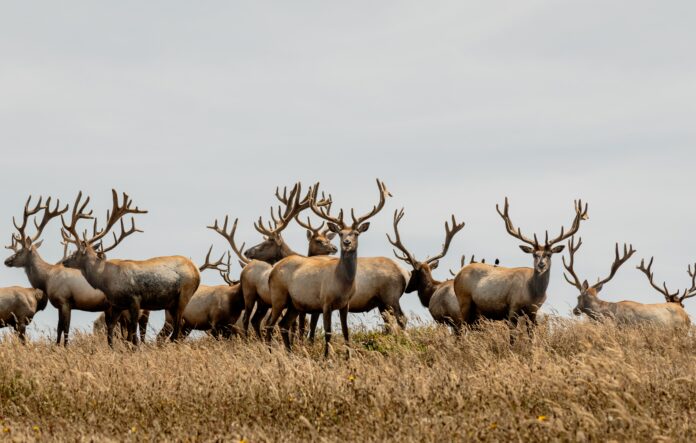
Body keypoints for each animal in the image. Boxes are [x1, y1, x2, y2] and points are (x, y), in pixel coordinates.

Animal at [4, 195, 113, 346]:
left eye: (19, 251)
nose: (6, 261)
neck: (46, 279)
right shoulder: (61, 305)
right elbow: (59, 328)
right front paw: (57, 346)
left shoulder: (64, 300)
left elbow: (65, 328)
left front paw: (65, 347)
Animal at [61, 191, 201, 346]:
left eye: (75, 253)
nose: (64, 261)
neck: (106, 280)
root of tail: (196, 270)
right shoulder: (117, 304)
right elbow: (111, 329)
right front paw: (112, 348)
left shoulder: (135, 299)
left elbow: (133, 330)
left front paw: (134, 348)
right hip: (171, 303)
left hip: (185, 293)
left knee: (178, 325)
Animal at [266, 180, 392, 358]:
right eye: (340, 233)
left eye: (356, 233)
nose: (346, 243)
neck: (342, 284)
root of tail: (272, 271)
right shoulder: (325, 301)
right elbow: (328, 332)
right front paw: (327, 357)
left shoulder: (345, 304)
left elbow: (346, 331)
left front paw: (348, 357)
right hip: (278, 295)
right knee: (270, 324)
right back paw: (270, 354)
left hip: (294, 304)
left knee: (283, 324)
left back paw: (290, 354)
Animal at [452, 198, 588, 330]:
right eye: (534, 254)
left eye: (549, 254)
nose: (541, 265)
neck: (533, 294)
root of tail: (458, 275)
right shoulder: (513, 306)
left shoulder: (533, 312)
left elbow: (531, 332)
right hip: (464, 301)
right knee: (461, 328)